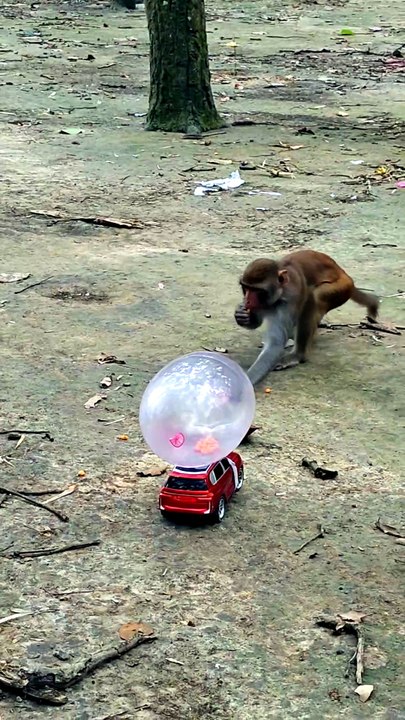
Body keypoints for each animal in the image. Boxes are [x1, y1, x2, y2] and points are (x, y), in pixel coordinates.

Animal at [234, 249, 379, 385]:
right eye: (246, 288)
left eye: (257, 291)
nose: (247, 300)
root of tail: (345, 275)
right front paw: (242, 315)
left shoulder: (290, 299)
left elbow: (275, 342)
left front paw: (247, 380)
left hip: (341, 288)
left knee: (312, 298)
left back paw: (298, 355)